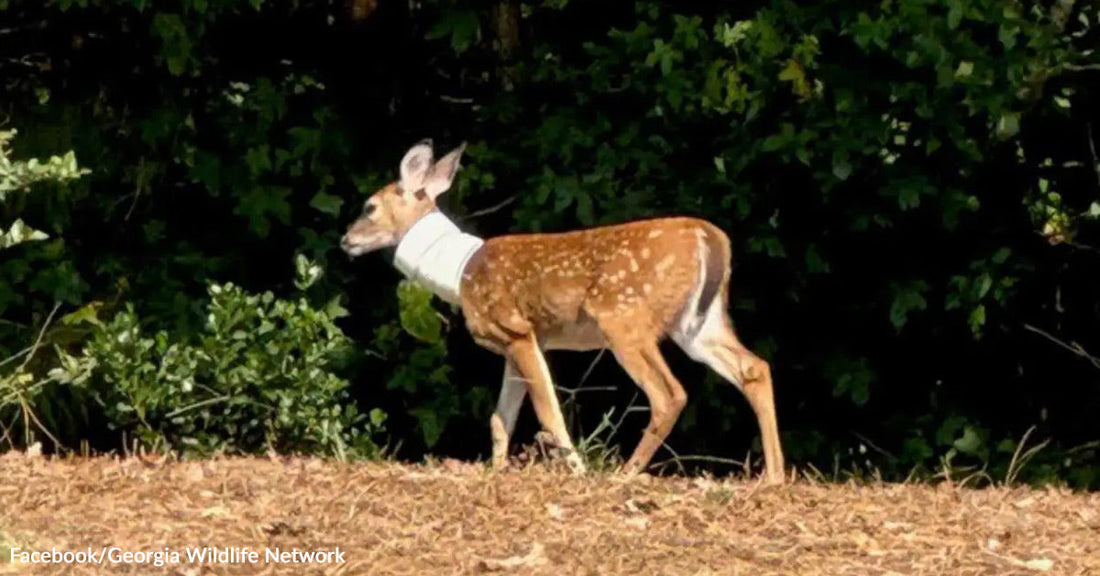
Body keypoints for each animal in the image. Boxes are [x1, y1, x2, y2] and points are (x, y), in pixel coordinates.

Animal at [340, 140, 786, 484]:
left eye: (369, 207)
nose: (346, 240)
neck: (460, 272)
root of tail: (711, 238)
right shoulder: (513, 344)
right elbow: (501, 418)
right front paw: (497, 470)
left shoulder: (516, 329)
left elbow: (548, 411)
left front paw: (576, 470)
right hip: (698, 323)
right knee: (755, 367)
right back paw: (775, 476)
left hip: (624, 317)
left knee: (669, 393)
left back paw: (625, 473)